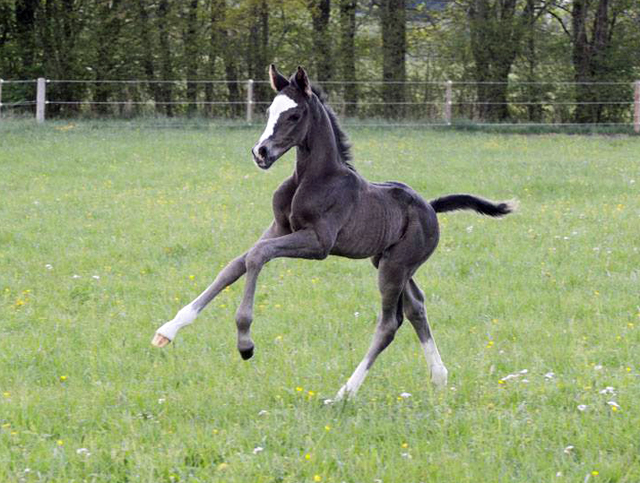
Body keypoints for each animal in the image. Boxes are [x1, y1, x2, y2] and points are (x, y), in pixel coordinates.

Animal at [151, 66, 516, 402]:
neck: (314, 178)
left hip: (394, 266)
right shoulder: (278, 228)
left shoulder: (319, 242)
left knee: (389, 324)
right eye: (268, 111)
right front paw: (167, 331)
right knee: (416, 307)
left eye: (294, 114)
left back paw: (343, 393)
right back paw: (438, 377)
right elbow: (235, 266)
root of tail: (429, 206)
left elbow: (257, 256)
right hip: (389, 262)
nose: (260, 153)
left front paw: (245, 343)